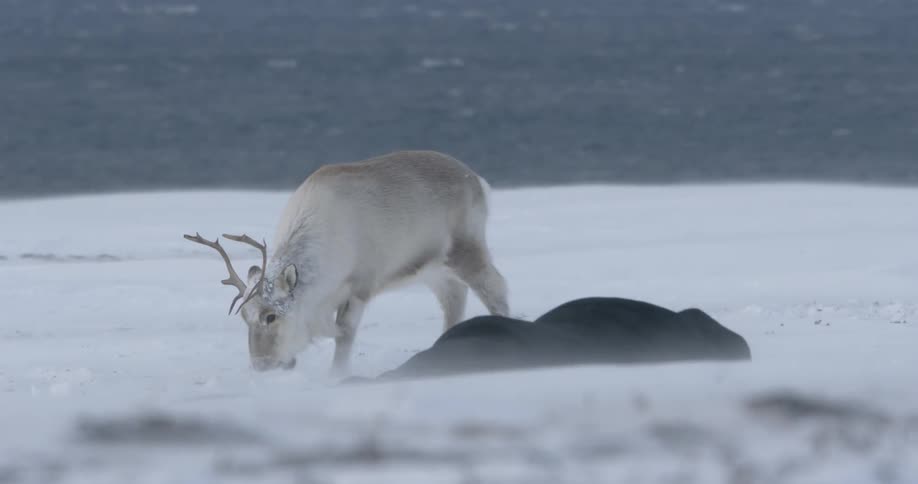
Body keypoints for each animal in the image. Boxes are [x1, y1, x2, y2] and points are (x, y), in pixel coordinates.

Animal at [185, 150, 510, 376]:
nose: (262, 365)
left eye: (271, 316)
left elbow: (345, 334)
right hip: (432, 269)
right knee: (454, 297)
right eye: (244, 316)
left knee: (494, 287)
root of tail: (478, 181)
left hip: (465, 248)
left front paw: (336, 374)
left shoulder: (360, 285)